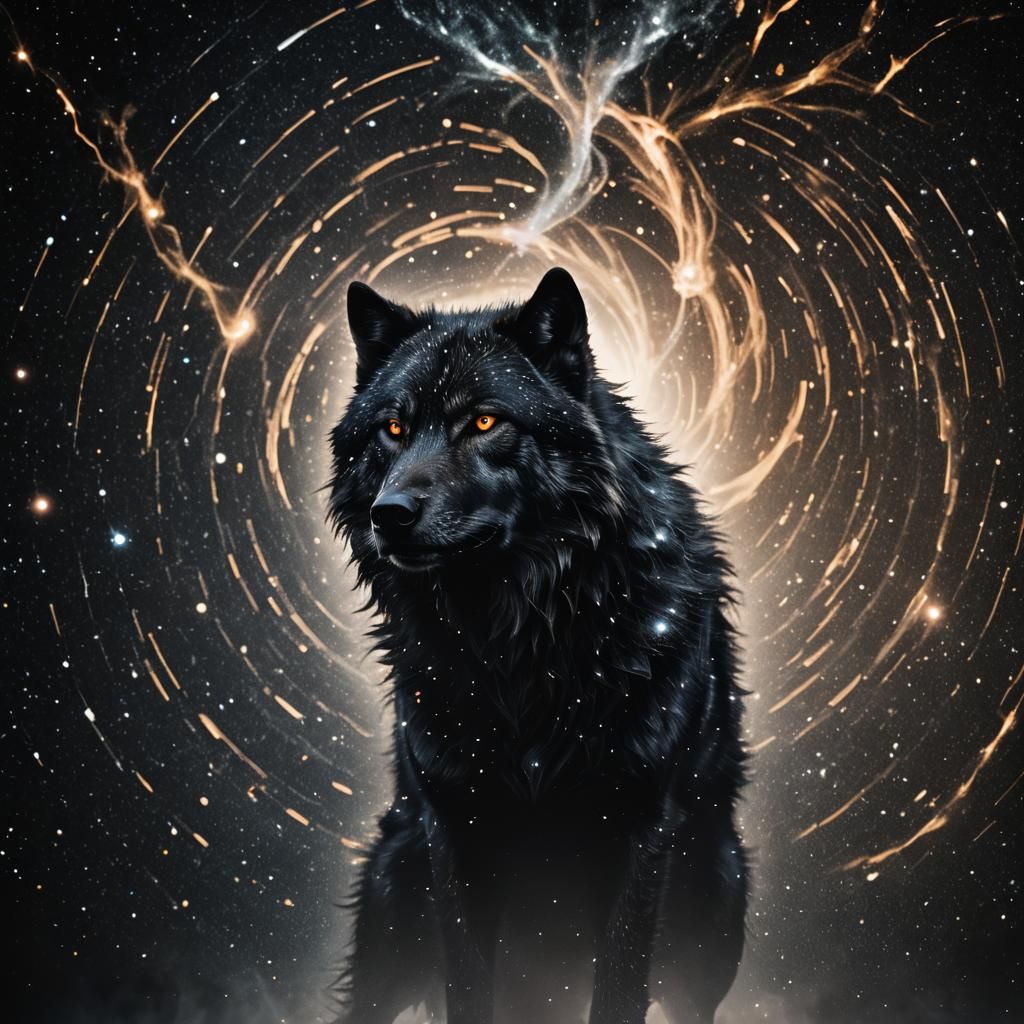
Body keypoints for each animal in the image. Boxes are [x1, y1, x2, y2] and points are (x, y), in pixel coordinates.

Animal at [327, 268, 749, 1024]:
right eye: (393, 428)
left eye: (485, 421)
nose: (389, 515)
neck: (518, 646)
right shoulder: (453, 828)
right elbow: (467, 985)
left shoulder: (640, 828)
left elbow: (619, 987)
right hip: (392, 892)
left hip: (716, 895)